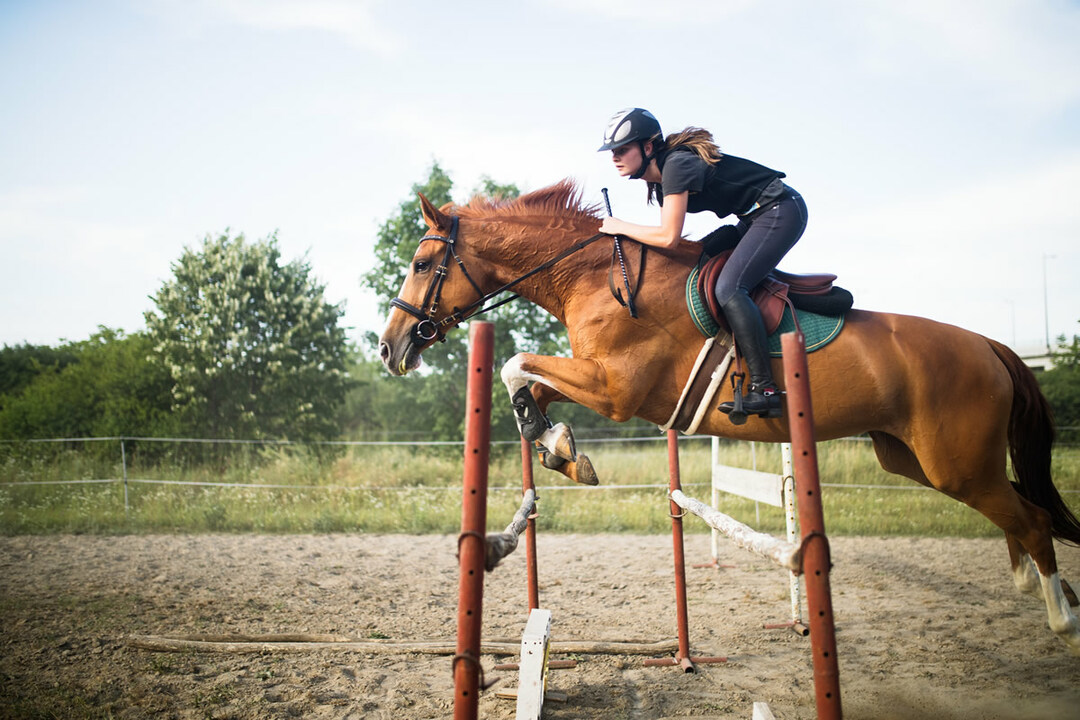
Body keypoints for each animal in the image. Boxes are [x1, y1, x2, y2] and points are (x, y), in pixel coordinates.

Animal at [378, 179, 1080, 651]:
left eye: (420, 264)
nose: (389, 348)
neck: (592, 275)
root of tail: (989, 345)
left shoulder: (617, 389)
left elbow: (513, 363)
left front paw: (559, 447)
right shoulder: (596, 379)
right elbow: (524, 380)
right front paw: (558, 447)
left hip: (953, 463)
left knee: (1033, 517)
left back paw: (1061, 616)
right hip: (919, 460)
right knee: (1020, 507)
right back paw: (1038, 586)